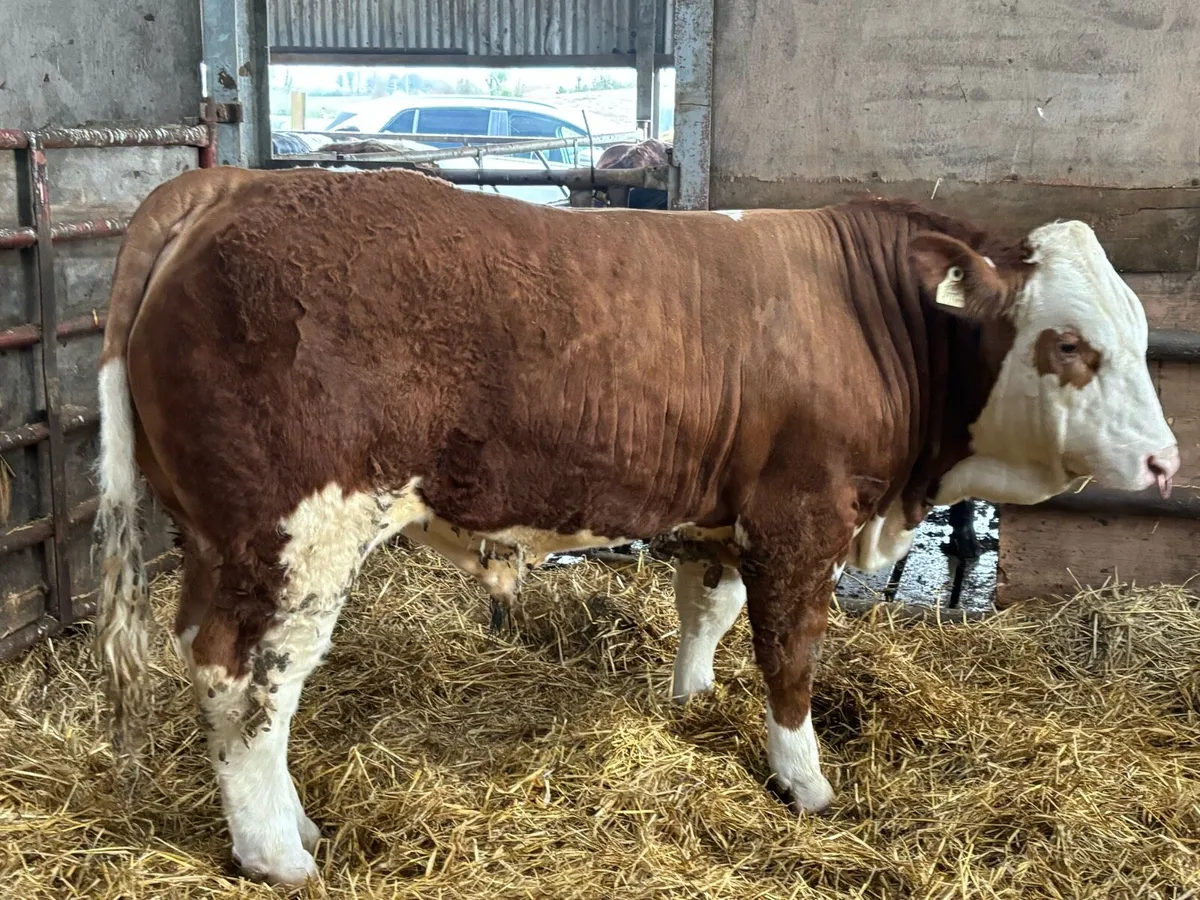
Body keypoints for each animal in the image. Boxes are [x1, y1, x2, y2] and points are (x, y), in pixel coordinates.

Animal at [93, 165, 1178, 886]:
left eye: (1139, 334)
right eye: (1069, 344)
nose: (1167, 464)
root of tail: (229, 183)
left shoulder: (726, 513)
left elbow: (708, 612)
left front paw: (692, 703)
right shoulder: (803, 515)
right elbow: (790, 657)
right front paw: (805, 783)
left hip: (224, 537)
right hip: (293, 534)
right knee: (250, 681)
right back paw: (278, 850)